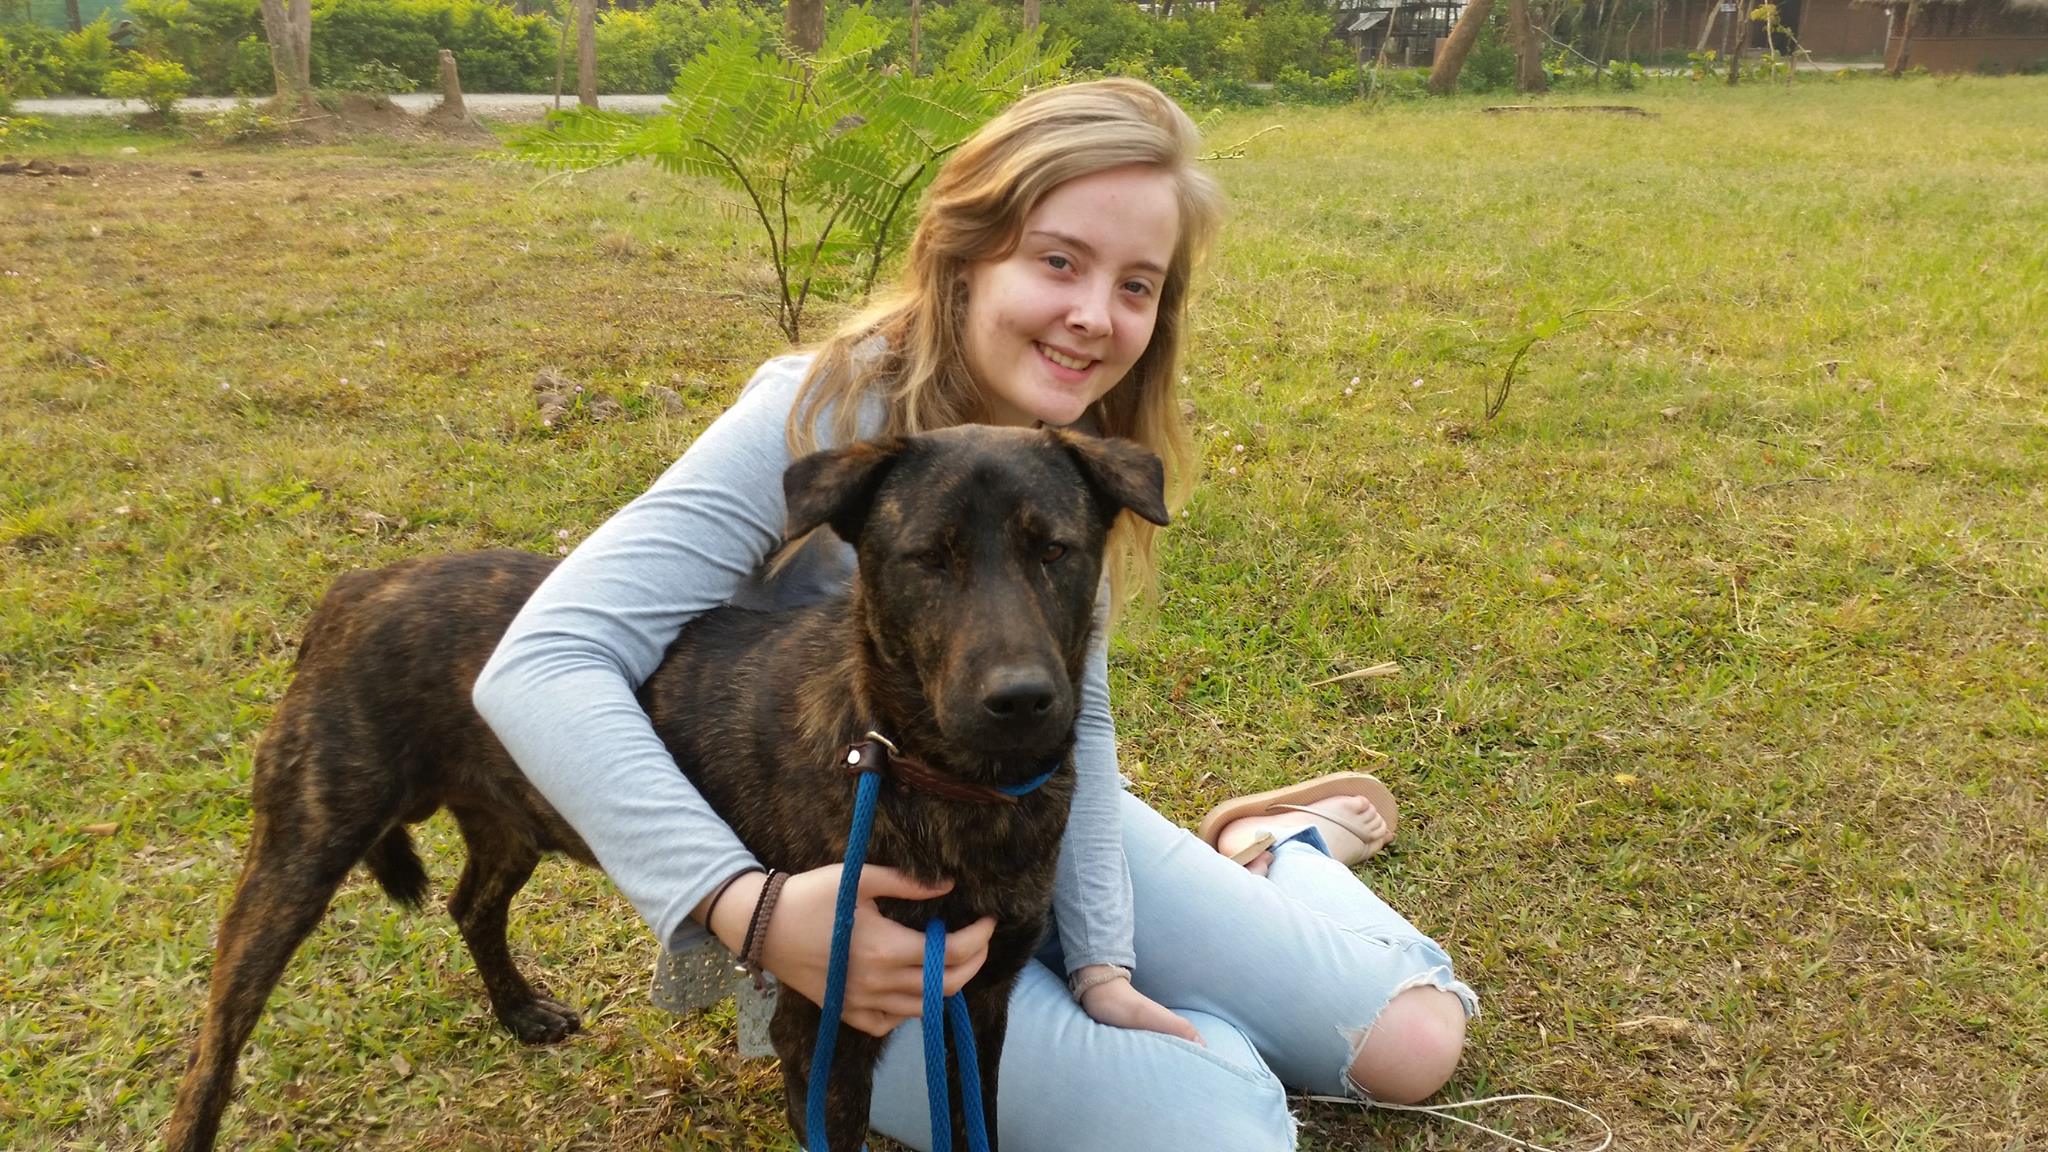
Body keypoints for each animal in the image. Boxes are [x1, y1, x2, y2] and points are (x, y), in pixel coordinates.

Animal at [163, 424, 1169, 1152]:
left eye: (1055, 551)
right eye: (930, 557)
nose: (1021, 700)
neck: (938, 781)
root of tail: (359, 584)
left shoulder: (980, 999)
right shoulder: (824, 1028)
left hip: (515, 819)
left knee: (470, 903)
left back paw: (519, 1009)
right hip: (301, 851)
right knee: (215, 1038)